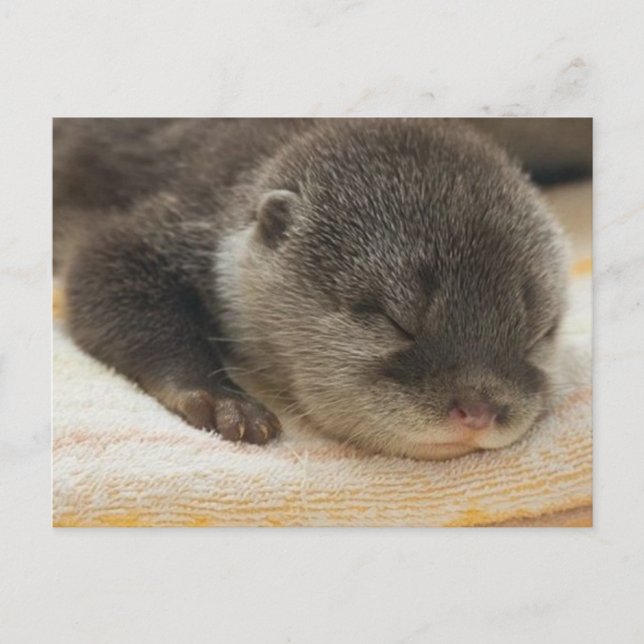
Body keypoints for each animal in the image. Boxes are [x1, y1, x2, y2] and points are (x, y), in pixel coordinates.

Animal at [54, 118, 570, 460]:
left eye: (535, 336)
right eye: (395, 321)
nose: (479, 410)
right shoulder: (181, 216)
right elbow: (100, 265)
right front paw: (223, 399)